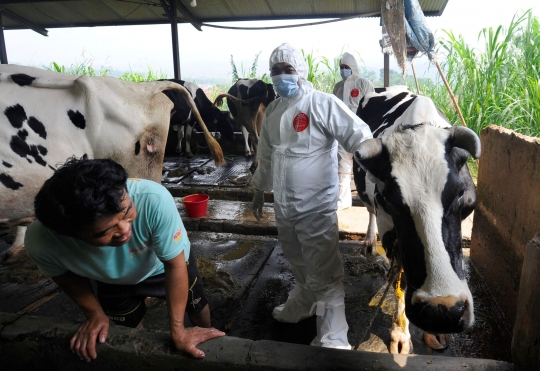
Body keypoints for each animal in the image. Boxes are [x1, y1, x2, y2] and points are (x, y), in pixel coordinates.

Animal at [354, 86, 480, 354]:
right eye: (390, 199)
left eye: (460, 193)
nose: (442, 311)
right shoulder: (389, 231)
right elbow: (400, 281)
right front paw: (400, 333)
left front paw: (435, 332)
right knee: (369, 211)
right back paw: (368, 243)